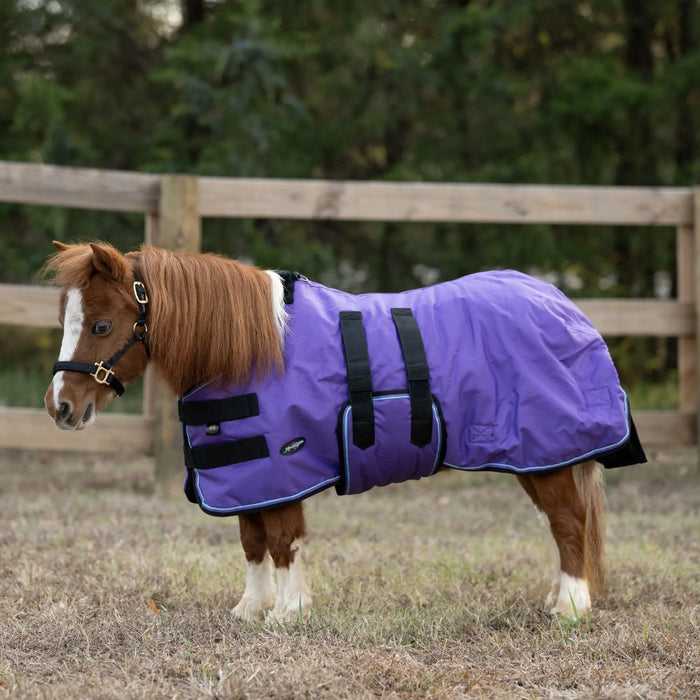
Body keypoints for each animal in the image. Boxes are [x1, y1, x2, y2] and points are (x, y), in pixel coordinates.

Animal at [43, 241, 646, 622]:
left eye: (102, 324)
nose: (61, 406)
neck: (249, 349)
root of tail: (560, 302)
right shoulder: (247, 473)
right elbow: (251, 541)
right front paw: (250, 609)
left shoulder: (283, 466)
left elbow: (282, 540)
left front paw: (287, 613)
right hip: (534, 458)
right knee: (562, 524)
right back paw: (557, 599)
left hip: (545, 454)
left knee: (569, 523)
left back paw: (570, 608)